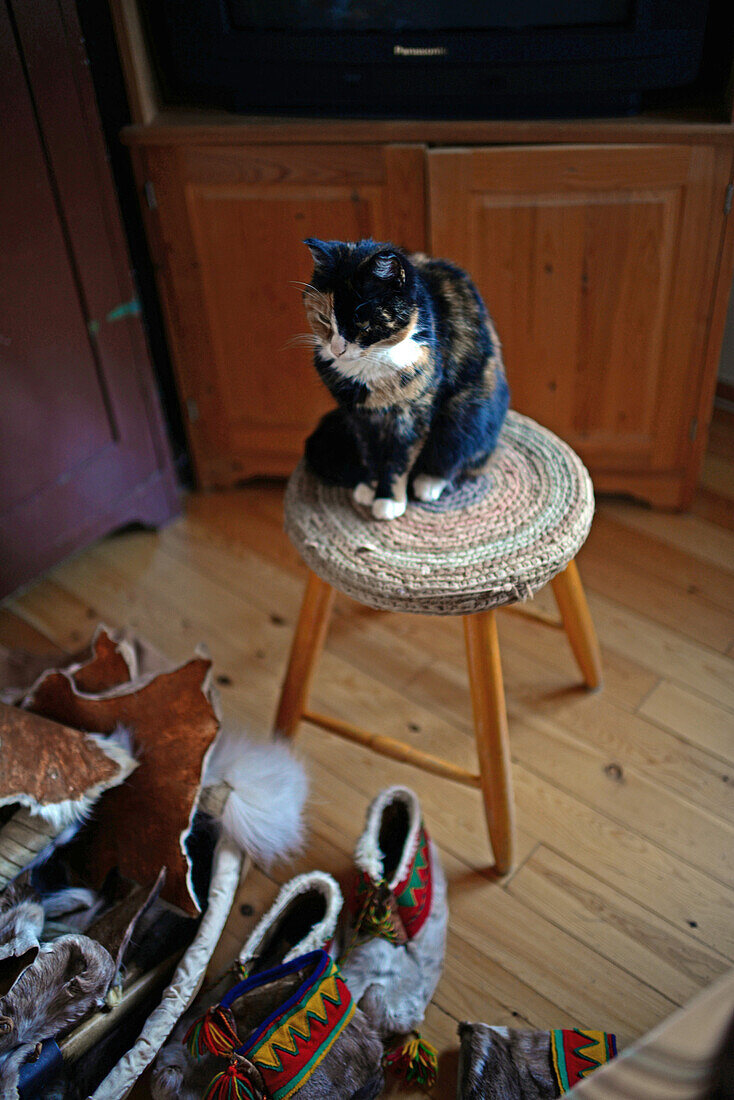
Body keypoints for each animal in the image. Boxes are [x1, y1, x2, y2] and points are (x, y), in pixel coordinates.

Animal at [301, 237, 508, 519]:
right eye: (323, 318)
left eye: (362, 323)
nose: (336, 349)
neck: (369, 369)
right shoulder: (358, 417)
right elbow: (369, 453)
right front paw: (369, 488)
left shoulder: (412, 413)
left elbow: (398, 460)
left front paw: (389, 500)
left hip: (467, 413)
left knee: (458, 455)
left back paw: (429, 482)